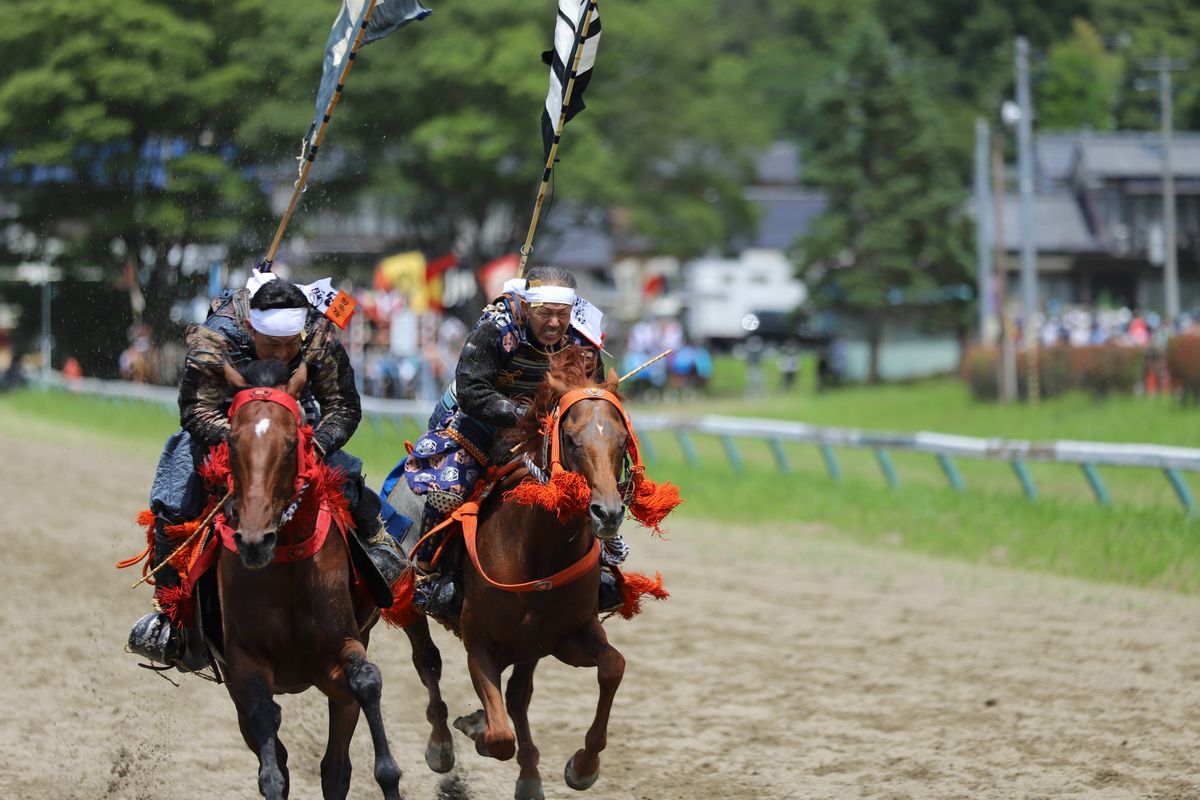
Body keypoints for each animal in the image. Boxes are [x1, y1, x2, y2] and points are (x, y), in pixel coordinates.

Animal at [218, 362, 400, 800]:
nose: (255, 540)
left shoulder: (340, 649)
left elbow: (367, 681)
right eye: (231, 440)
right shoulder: (243, 664)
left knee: (336, 767)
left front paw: (389, 776)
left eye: (290, 444)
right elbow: (267, 740)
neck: (286, 563)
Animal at [393, 355, 638, 800]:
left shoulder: (567, 635)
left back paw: (529, 778)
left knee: (518, 697)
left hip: (530, 648)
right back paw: (441, 745)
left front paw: (583, 766)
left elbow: (613, 666)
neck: (536, 554)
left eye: (621, 440)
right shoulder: (480, 646)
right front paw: (473, 725)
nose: (607, 513)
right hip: (410, 604)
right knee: (428, 663)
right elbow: (499, 735)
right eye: (570, 439)